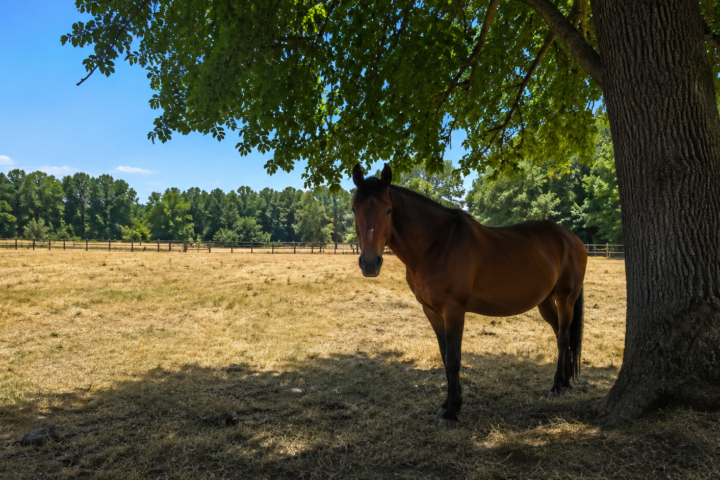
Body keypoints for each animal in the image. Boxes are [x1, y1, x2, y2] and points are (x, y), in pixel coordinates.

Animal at [351, 163, 587, 429]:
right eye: (354, 209)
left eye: (388, 210)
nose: (370, 263)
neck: (436, 244)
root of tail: (571, 237)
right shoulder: (432, 311)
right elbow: (444, 357)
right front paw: (446, 405)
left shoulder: (454, 310)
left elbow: (454, 358)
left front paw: (452, 412)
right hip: (545, 301)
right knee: (559, 334)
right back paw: (564, 382)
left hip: (566, 299)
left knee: (564, 338)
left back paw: (556, 387)